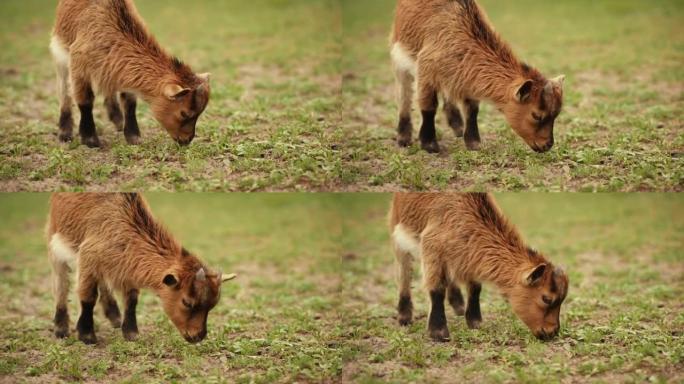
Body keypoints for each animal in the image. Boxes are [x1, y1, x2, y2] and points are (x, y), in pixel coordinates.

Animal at [47, 194, 235, 344]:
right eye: (187, 302)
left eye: (212, 305)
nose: (198, 336)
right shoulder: (88, 258)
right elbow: (88, 297)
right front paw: (87, 336)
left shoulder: (126, 267)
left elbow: (131, 300)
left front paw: (131, 334)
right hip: (54, 242)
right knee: (60, 284)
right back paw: (61, 329)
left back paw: (114, 317)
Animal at [49, 0, 210, 147]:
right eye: (184, 113)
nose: (187, 140)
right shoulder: (79, 65)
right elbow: (85, 100)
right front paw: (90, 140)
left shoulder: (120, 70)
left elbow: (130, 102)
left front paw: (133, 137)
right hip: (60, 54)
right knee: (64, 91)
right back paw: (64, 133)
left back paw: (118, 120)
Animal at [388, 194, 568, 340]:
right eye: (546, 298)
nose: (552, 332)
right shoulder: (432, 249)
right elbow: (437, 289)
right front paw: (438, 332)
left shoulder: (469, 256)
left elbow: (475, 288)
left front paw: (475, 322)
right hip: (398, 233)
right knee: (403, 273)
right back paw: (404, 316)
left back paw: (459, 305)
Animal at [392, 0, 564, 153]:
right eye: (536, 115)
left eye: (555, 115)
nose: (547, 145)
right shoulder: (426, 70)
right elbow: (428, 106)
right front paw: (429, 145)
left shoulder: (465, 76)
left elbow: (472, 109)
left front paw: (473, 143)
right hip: (399, 55)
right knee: (404, 94)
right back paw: (403, 137)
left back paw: (457, 127)